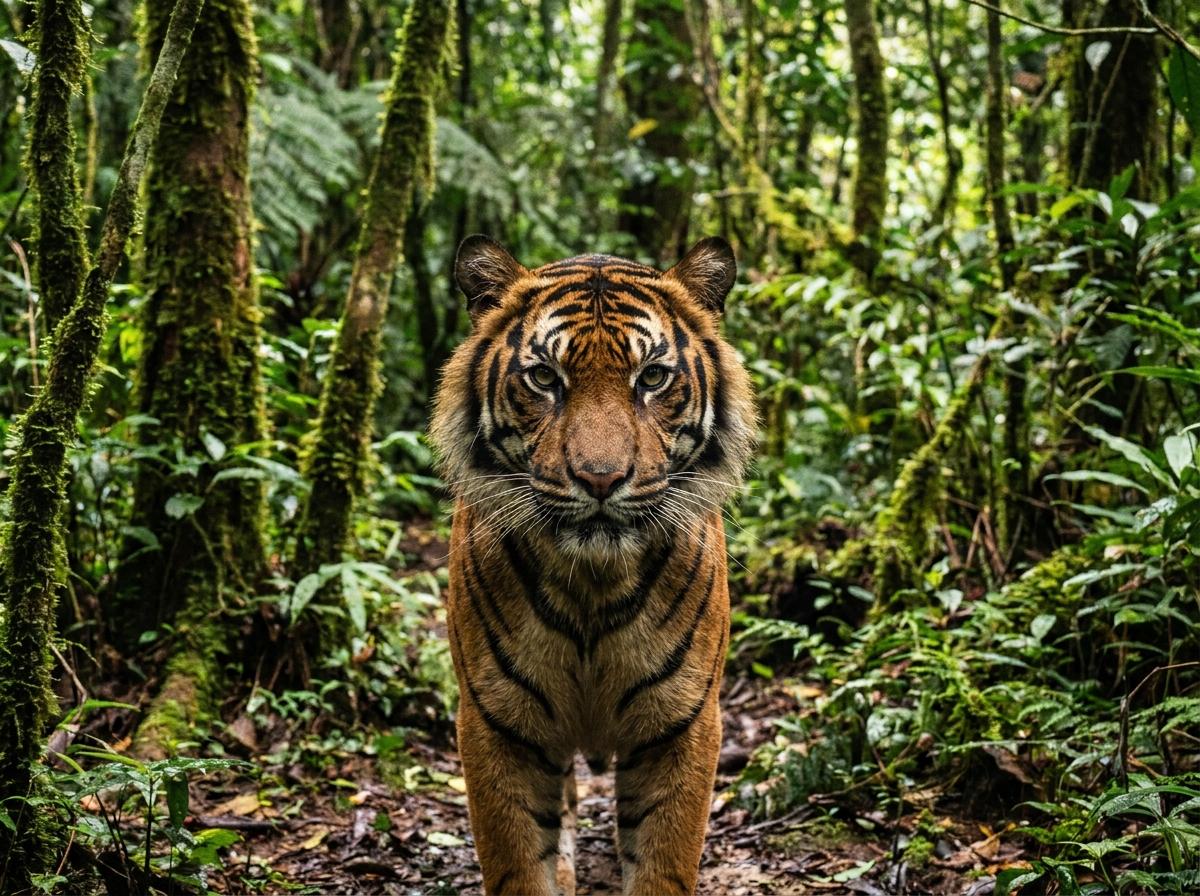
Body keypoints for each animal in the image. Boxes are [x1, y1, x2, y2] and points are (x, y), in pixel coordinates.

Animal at [429, 234, 756, 896]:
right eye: (544, 378)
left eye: (652, 377)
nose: (600, 478)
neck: (593, 585)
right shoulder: (497, 722)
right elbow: (518, 862)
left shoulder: (682, 722)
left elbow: (662, 865)